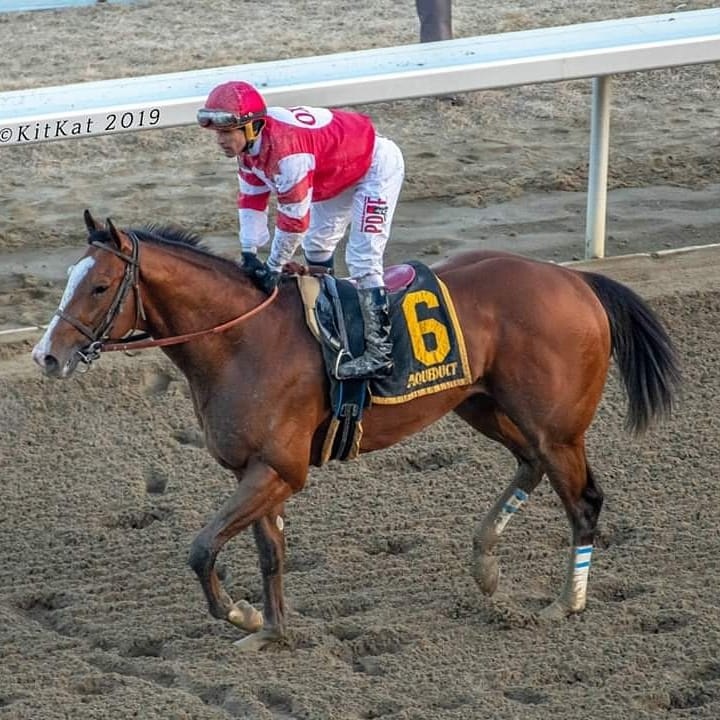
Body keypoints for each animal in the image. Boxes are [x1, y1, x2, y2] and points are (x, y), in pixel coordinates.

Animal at [31, 210, 681, 651]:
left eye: (98, 286)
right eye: (68, 278)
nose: (47, 356)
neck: (241, 340)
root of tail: (577, 282)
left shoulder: (280, 469)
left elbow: (201, 548)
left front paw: (242, 615)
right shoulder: (258, 471)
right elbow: (270, 554)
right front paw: (272, 630)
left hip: (555, 426)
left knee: (583, 500)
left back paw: (566, 603)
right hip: (482, 405)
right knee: (532, 466)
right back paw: (485, 563)